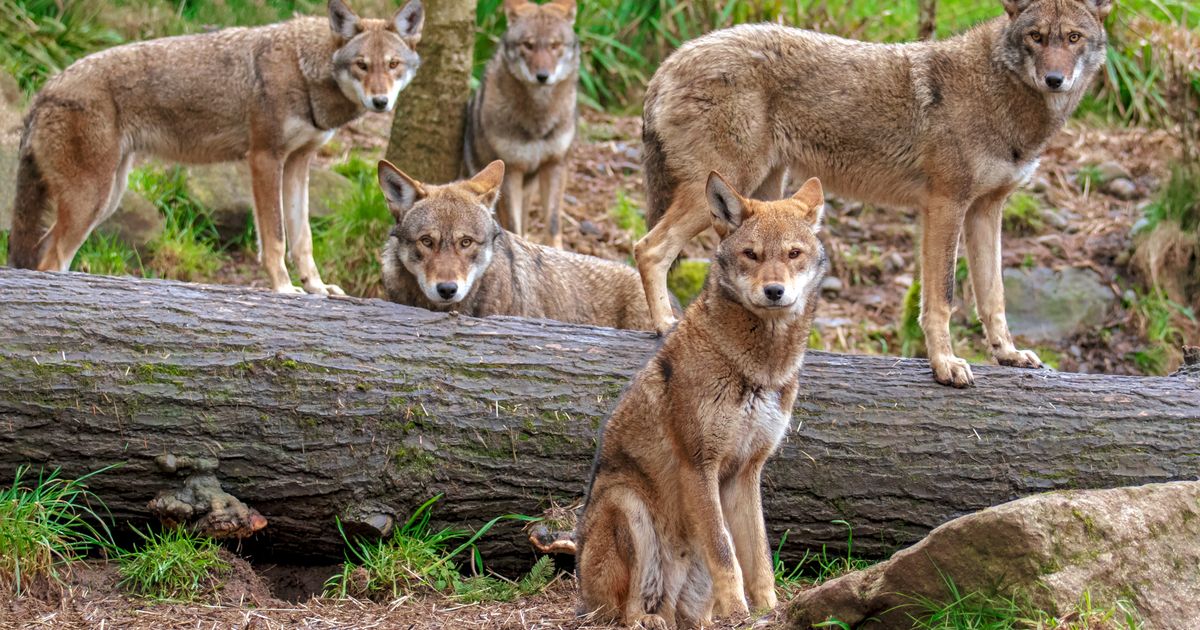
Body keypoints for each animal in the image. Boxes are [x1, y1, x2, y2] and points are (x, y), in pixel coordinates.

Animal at [7, 0, 422, 295]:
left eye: (393, 64)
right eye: (362, 65)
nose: (381, 102)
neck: (302, 68)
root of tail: (45, 89)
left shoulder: (299, 163)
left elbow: (302, 239)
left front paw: (317, 288)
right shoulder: (264, 159)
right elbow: (275, 238)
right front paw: (285, 289)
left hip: (107, 198)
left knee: (44, 253)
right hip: (92, 198)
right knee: (49, 260)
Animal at [460, 0, 578, 248]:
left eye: (554, 45)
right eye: (528, 45)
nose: (542, 76)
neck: (538, 120)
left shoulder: (555, 165)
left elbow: (553, 223)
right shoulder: (511, 171)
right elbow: (514, 227)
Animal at [576, 172, 830, 628]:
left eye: (793, 254)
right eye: (751, 254)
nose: (775, 290)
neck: (758, 371)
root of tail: (580, 596)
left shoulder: (746, 471)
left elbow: (758, 557)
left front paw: (768, 610)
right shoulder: (699, 465)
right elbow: (726, 552)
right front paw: (741, 612)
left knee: (687, 615)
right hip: (627, 504)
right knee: (626, 612)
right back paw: (648, 619)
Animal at [638, 0, 1113, 388]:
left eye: (1073, 37)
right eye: (1037, 37)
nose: (1055, 79)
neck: (998, 94)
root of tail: (669, 61)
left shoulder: (986, 209)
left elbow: (993, 295)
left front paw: (1008, 354)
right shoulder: (945, 205)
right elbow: (942, 298)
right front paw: (945, 364)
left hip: (761, 194)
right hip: (722, 188)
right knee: (649, 248)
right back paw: (664, 324)